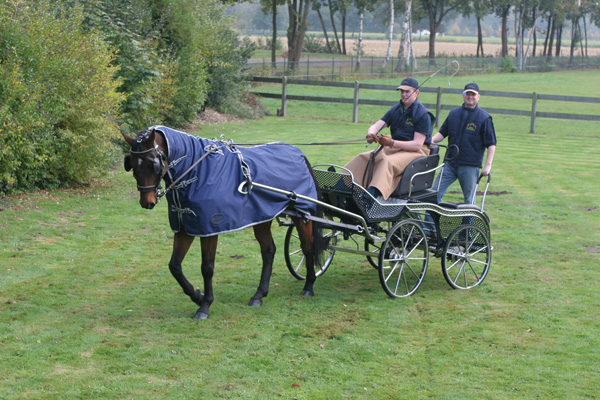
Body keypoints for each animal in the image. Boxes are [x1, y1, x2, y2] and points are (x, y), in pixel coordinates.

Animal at [122, 126, 326, 320]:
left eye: (153, 164)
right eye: (132, 165)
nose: (147, 202)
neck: (195, 169)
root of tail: (297, 153)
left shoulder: (209, 230)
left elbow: (207, 268)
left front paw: (205, 305)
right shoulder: (184, 227)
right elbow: (175, 266)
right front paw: (197, 295)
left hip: (301, 214)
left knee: (307, 247)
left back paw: (309, 286)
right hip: (262, 216)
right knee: (268, 250)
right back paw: (259, 295)